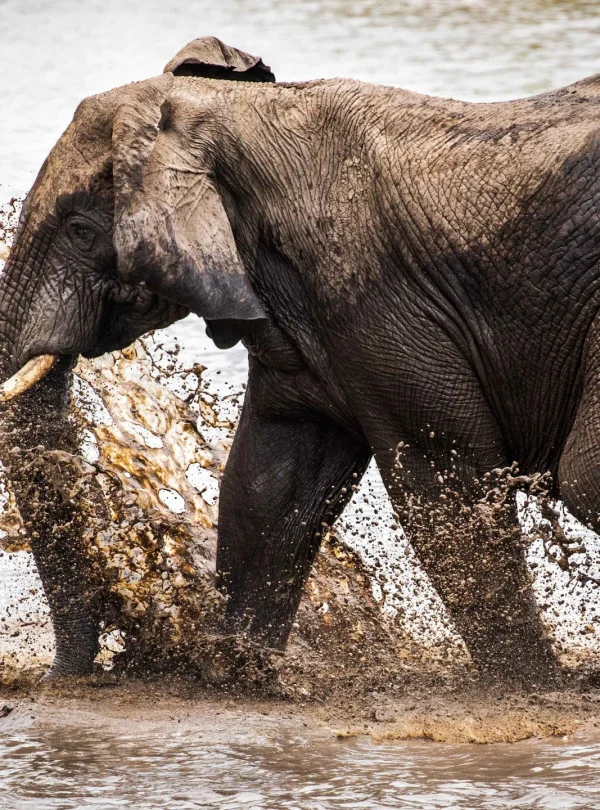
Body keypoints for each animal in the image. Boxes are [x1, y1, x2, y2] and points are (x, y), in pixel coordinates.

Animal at [2, 35, 600, 686]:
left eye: (81, 230)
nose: (56, 678)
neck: (233, 113)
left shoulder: (375, 302)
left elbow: (445, 481)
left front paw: (530, 687)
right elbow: (269, 485)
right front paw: (236, 668)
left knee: (583, 476)